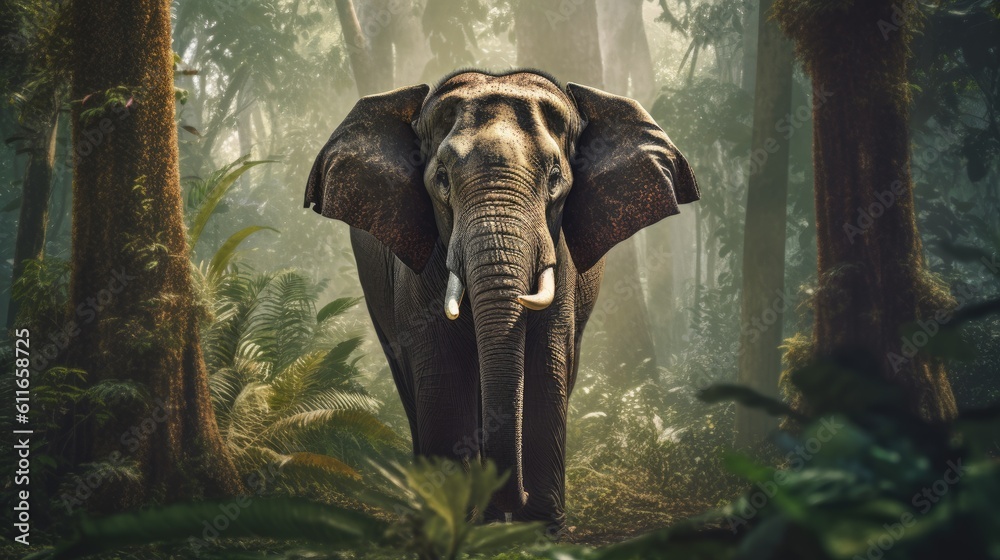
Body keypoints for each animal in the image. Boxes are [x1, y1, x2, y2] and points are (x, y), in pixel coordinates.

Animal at [304, 69, 699, 532]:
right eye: (441, 178)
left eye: (554, 178)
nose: (511, 495)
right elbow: (440, 363)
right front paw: (451, 516)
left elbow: (547, 360)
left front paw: (538, 528)